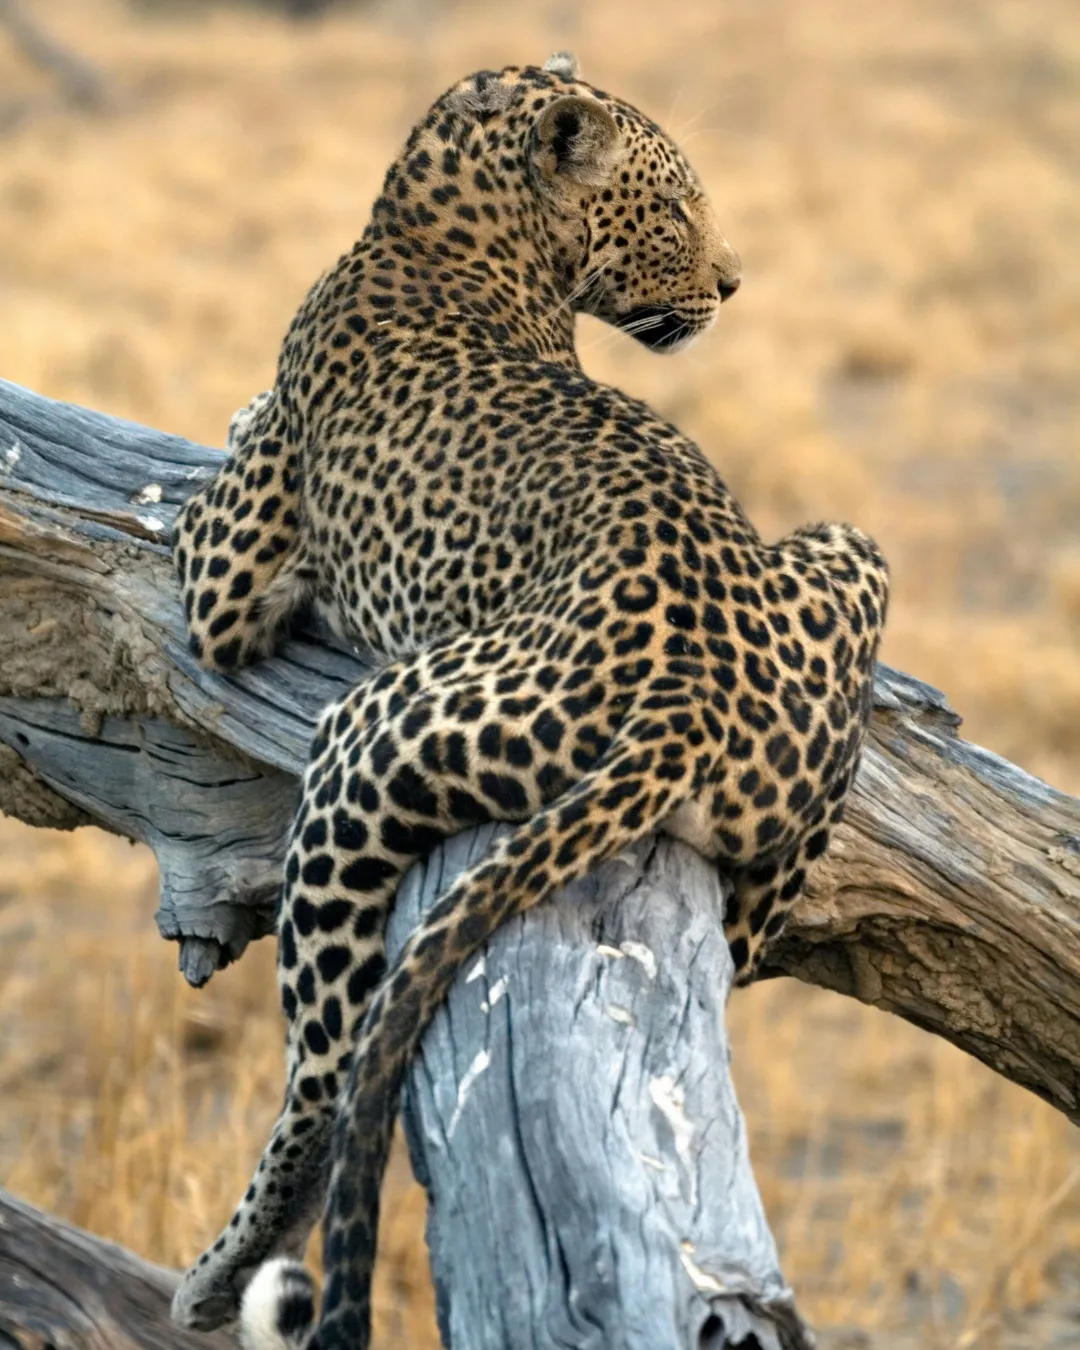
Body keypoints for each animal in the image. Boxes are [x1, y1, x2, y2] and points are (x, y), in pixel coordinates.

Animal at [169, 51, 889, 1350]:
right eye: (676, 211)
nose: (734, 282)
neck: (441, 221)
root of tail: (691, 701)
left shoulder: (225, 585)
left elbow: (222, 472)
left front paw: (240, 410)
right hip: (850, 554)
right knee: (755, 925)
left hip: (370, 741)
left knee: (324, 1075)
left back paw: (223, 1270)